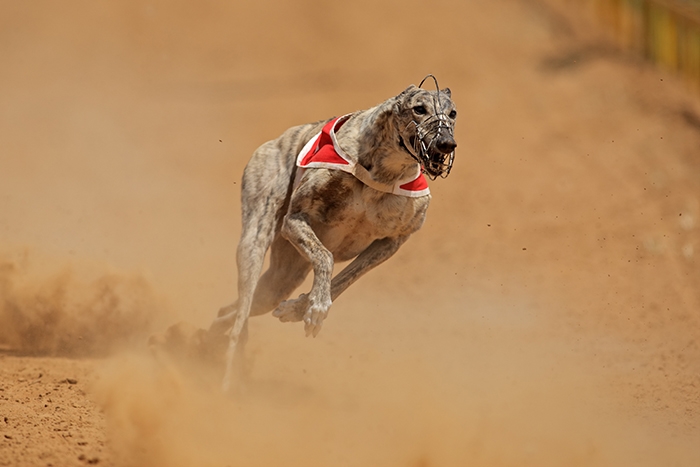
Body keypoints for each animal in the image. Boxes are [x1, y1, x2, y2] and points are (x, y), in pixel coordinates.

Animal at [211, 77, 456, 392]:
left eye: (453, 113)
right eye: (419, 109)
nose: (446, 143)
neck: (383, 173)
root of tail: (275, 140)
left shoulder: (392, 242)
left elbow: (345, 280)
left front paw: (300, 308)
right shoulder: (295, 219)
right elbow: (325, 258)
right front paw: (315, 306)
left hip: (281, 279)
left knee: (233, 311)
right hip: (256, 238)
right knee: (241, 312)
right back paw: (227, 377)